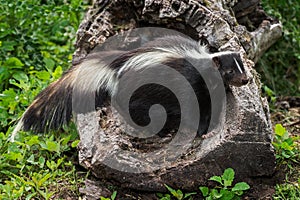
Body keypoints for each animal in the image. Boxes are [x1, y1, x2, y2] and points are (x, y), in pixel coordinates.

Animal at [10, 34, 247, 141]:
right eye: (229, 71)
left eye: (242, 67)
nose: (245, 80)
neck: (205, 65)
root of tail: (118, 64)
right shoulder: (189, 83)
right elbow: (193, 108)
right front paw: (200, 131)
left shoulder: (210, 89)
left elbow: (211, 105)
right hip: (142, 91)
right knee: (138, 110)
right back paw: (157, 130)